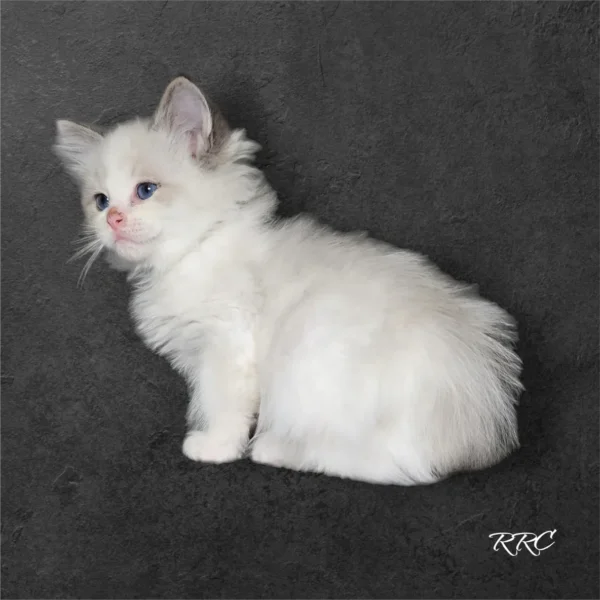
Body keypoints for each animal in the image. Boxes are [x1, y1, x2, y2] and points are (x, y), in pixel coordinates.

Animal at [57, 77, 524, 486]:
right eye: (100, 202)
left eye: (146, 190)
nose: (113, 220)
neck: (194, 252)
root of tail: (483, 414)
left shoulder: (227, 346)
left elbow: (220, 406)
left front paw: (213, 449)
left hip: (316, 360)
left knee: (397, 468)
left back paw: (278, 449)